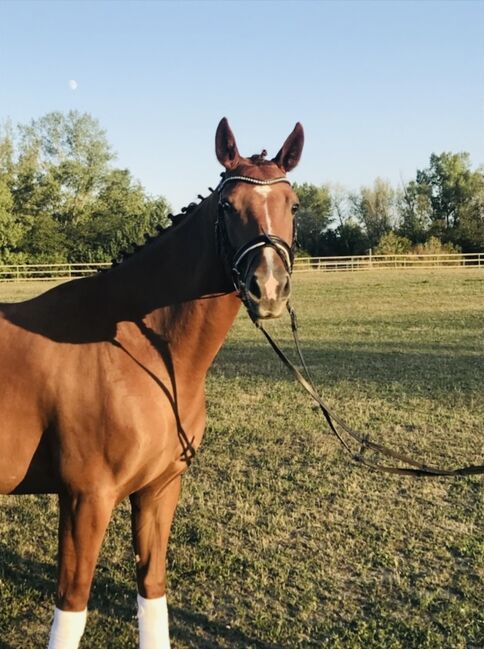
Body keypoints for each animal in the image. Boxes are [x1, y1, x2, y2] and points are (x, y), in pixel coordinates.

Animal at [0, 117, 302, 648]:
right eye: (228, 206)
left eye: (294, 204)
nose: (268, 288)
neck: (137, 351)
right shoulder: (85, 500)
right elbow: (72, 608)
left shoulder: (159, 491)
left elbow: (152, 595)